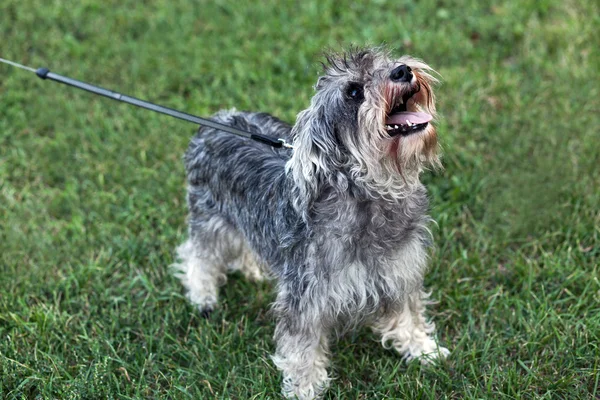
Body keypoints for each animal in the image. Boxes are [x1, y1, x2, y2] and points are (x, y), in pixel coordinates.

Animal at [173, 47, 450, 400]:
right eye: (354, 92)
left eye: (384, 61)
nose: (402, 70)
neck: (368, 197)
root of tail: (216, 122)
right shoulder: (306, 299)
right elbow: (302, 350)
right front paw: (304, 388)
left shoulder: (399, 275)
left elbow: (408, 317)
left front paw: (423, 349)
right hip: (210, 220)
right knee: (198, 255)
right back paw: (202, 295)